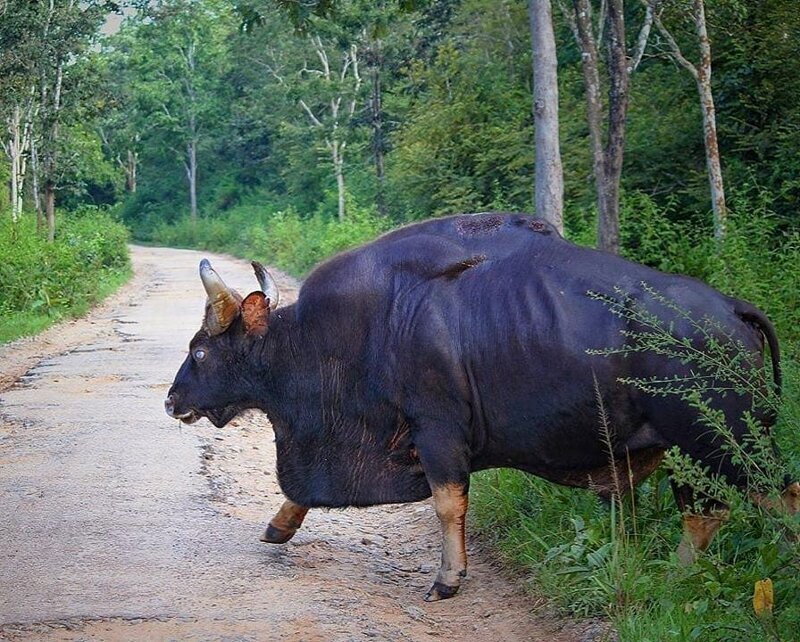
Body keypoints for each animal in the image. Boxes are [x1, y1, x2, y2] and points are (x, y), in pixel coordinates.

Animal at [166, 212, 796, 596]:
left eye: (199, 350)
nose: (172, 401)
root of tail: (733, 308)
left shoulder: (436, 431)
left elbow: (449, 505)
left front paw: (449, 578)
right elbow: (303, 491)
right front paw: (278, 527)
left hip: (728, 446)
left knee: (776, 499)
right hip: (694, 453)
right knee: (704, 516)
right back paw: (674, 581)